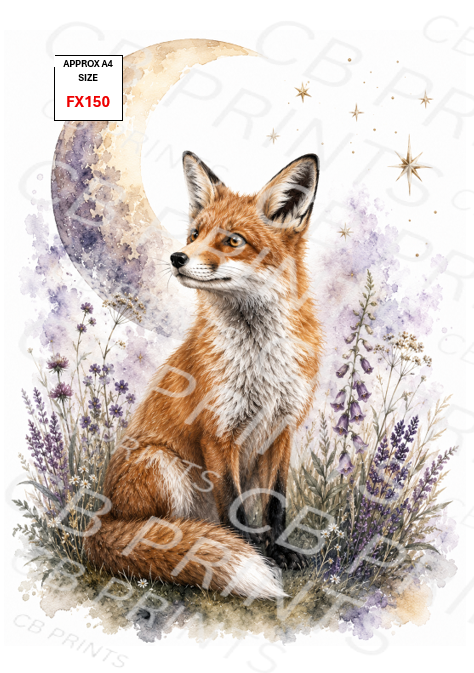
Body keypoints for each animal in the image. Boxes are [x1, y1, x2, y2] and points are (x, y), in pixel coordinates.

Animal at [83, 151, 323, 600]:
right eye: (195, 234)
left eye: (233, 240)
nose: (177, 257)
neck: (259, 360)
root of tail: (100, 519)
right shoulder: (218, 432)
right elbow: (235, 506)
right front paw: (251, 551)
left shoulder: (282, 429)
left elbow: (276, 503)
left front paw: (280, 550)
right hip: (161, 464)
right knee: (158, 530)